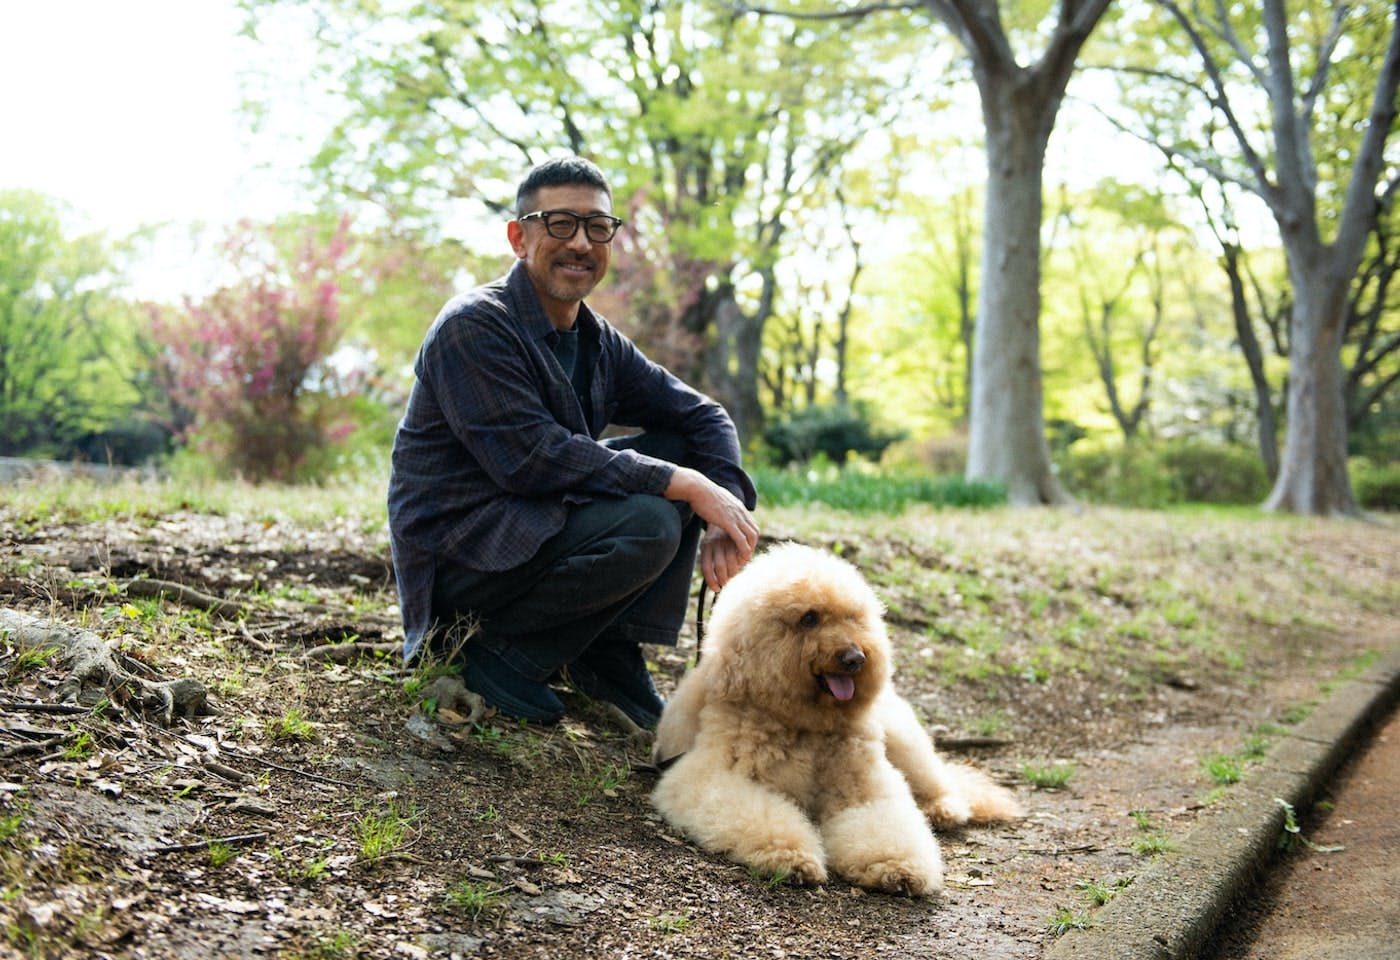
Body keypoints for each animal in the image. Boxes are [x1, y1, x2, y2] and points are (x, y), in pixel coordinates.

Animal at [649, 545, 1024, 901]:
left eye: (853, 617)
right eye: (809, 618)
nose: (855, 658)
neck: (806, 725)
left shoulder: (865, 787)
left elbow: (883, 823)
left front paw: (896, 866)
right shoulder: (713, 777)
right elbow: (761, 816)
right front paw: (791, 856)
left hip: (903, 741)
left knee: (937, 781)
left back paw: (941, 808)